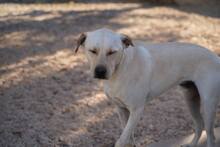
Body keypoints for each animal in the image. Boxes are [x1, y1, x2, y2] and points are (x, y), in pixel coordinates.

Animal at [74, 27, 220, 147]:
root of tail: (216, 57)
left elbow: (122, 140)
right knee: (199, 125)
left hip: (208, 105)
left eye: (112, 52)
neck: (120, 69)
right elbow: (129, 137)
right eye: (93, 51)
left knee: (210, 135)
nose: (100, 71)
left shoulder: (136, 110)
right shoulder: (121, 109)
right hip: (190, 100)